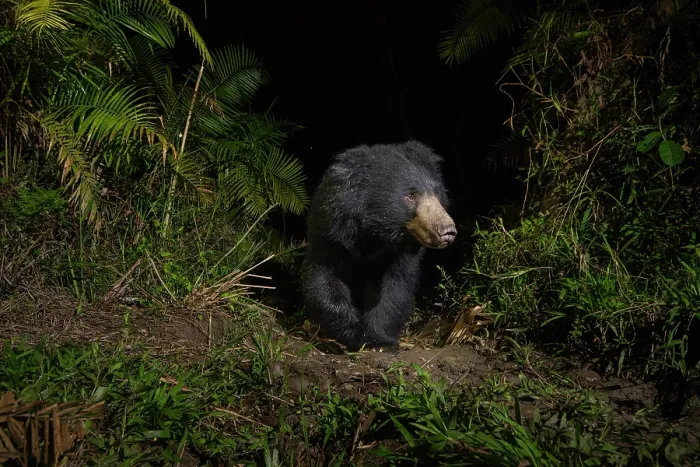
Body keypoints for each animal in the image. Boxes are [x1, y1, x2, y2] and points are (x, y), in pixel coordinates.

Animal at [301, 140, 457, 351]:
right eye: (411, 196)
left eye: (438, 195)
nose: (447, 230)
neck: (376, 232)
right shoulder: (332, 229)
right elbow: (325, 276)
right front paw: (351, 333)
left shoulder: (401, 251)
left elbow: (395, 287)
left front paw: (379, 341)